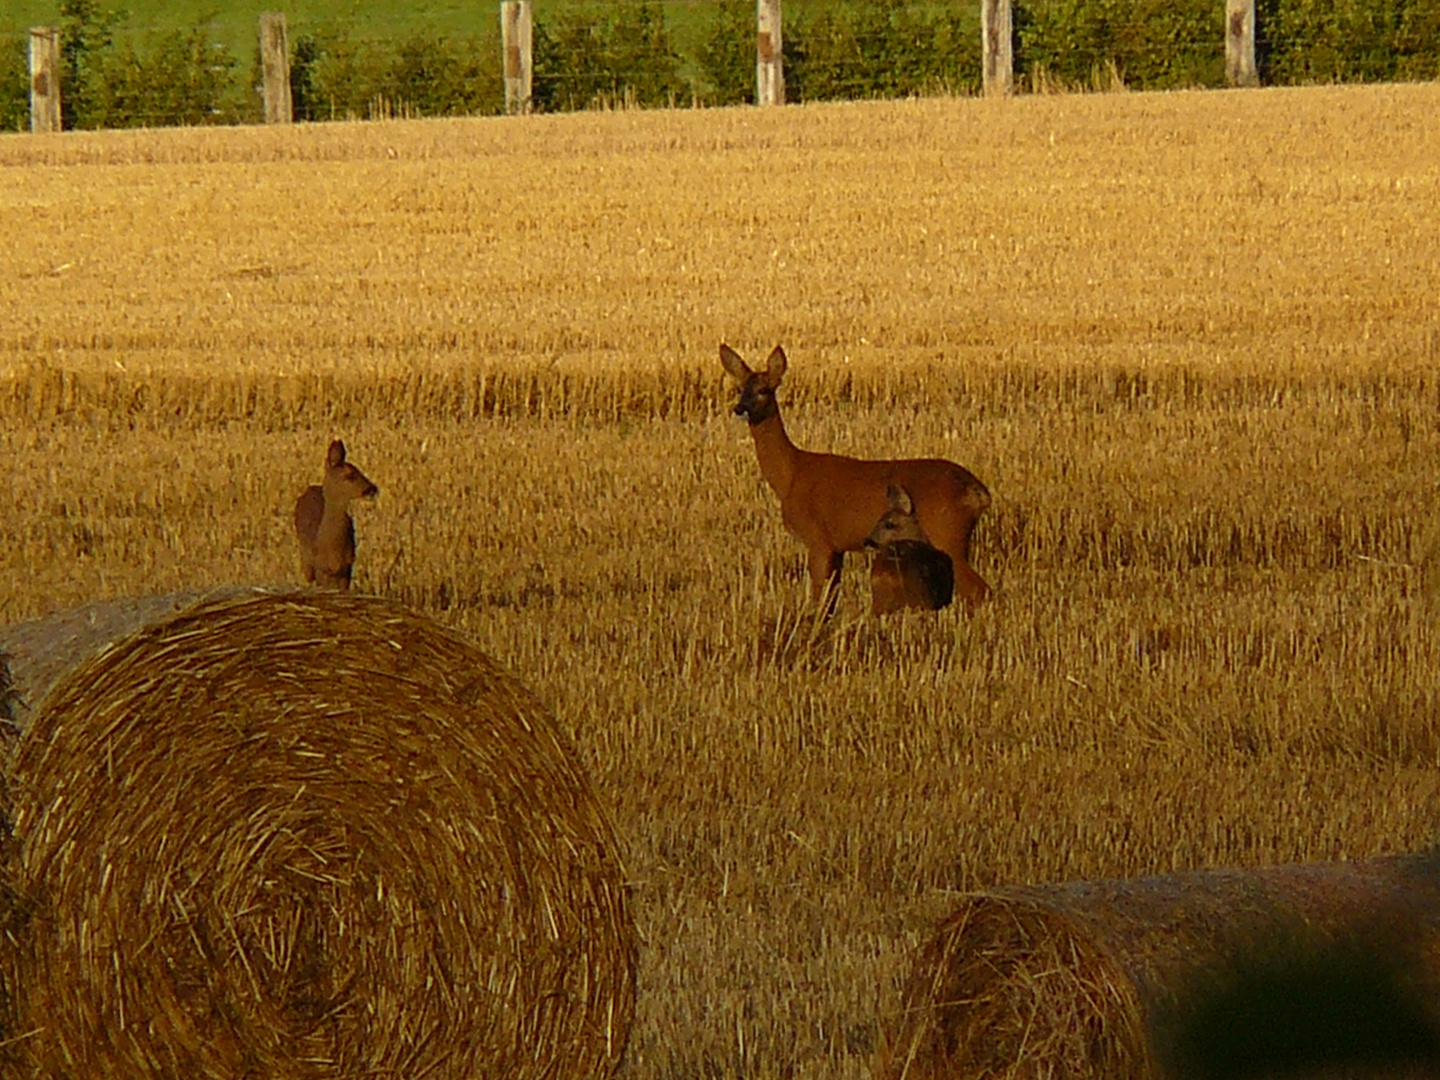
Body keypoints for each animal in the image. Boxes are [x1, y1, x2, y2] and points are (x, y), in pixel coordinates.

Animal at [293, 440, 380, 593]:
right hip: (307, 563)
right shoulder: (320, 570)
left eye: (359, 469)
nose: (373, 489)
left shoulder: (347, 568)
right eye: (350, 475)